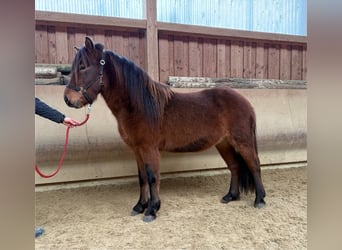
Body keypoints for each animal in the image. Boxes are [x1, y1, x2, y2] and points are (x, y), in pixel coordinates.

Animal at [64, 37, 268, 223]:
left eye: (82, 66)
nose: (67, 99)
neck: (139, 105)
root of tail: (245, 102)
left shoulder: (150, 149)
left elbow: (153, 177)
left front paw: (152, 210)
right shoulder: (137, 150)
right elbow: (142, 178)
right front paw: (139, 206)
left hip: (242, 141)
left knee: (254, 164)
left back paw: (259, 200)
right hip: (224, 143)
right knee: (234, 166)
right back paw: (230, 196)